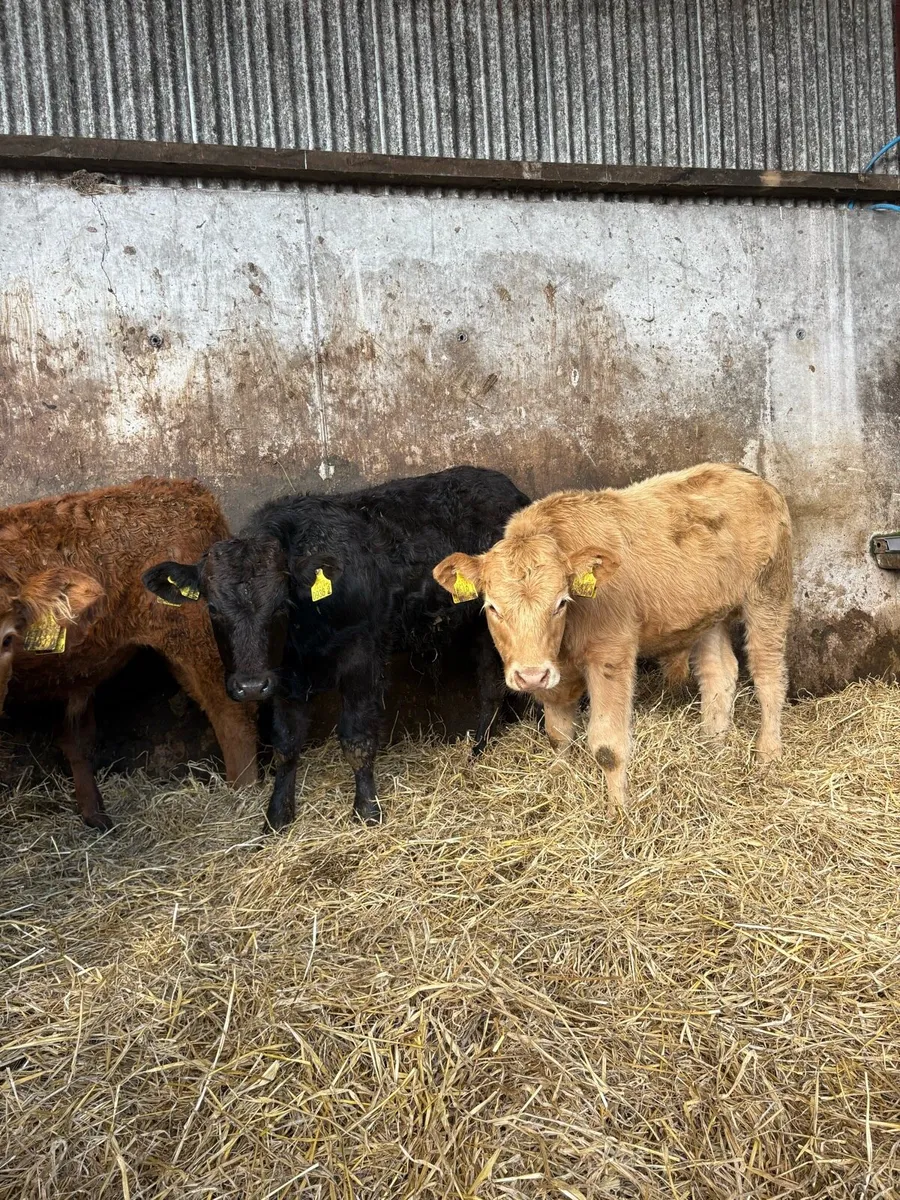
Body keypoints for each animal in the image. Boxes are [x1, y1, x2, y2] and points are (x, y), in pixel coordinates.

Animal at [0, 478, 258, 831]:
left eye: (7, 637)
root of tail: (188, 491)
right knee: (77, 742)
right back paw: (97, 817)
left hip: (199, 642)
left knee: (232, 717)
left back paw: (245, 801)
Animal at [142, 465, 532, 833]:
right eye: (212, 608)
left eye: (280, 605)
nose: (251, 686)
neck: (305, 634)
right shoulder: (283, 676)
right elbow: (285, 744)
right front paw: (276, 817)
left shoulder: (363, 657)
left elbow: (356, 739)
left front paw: (367, 811)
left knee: (491, 686)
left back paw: (478, 751)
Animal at [433, 463, 792, 809]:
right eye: (492, 607)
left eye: (560, 602)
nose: (531, 675)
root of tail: (748, 476)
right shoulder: (555, 675)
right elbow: (557, 735)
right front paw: (560, 785)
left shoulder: (611, 654)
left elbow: (607, 746)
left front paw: (618, 814)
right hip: (709, 613)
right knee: (719, 673)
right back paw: (712, 744)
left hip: (769, 594)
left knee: (768, 675)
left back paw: (768, 754)